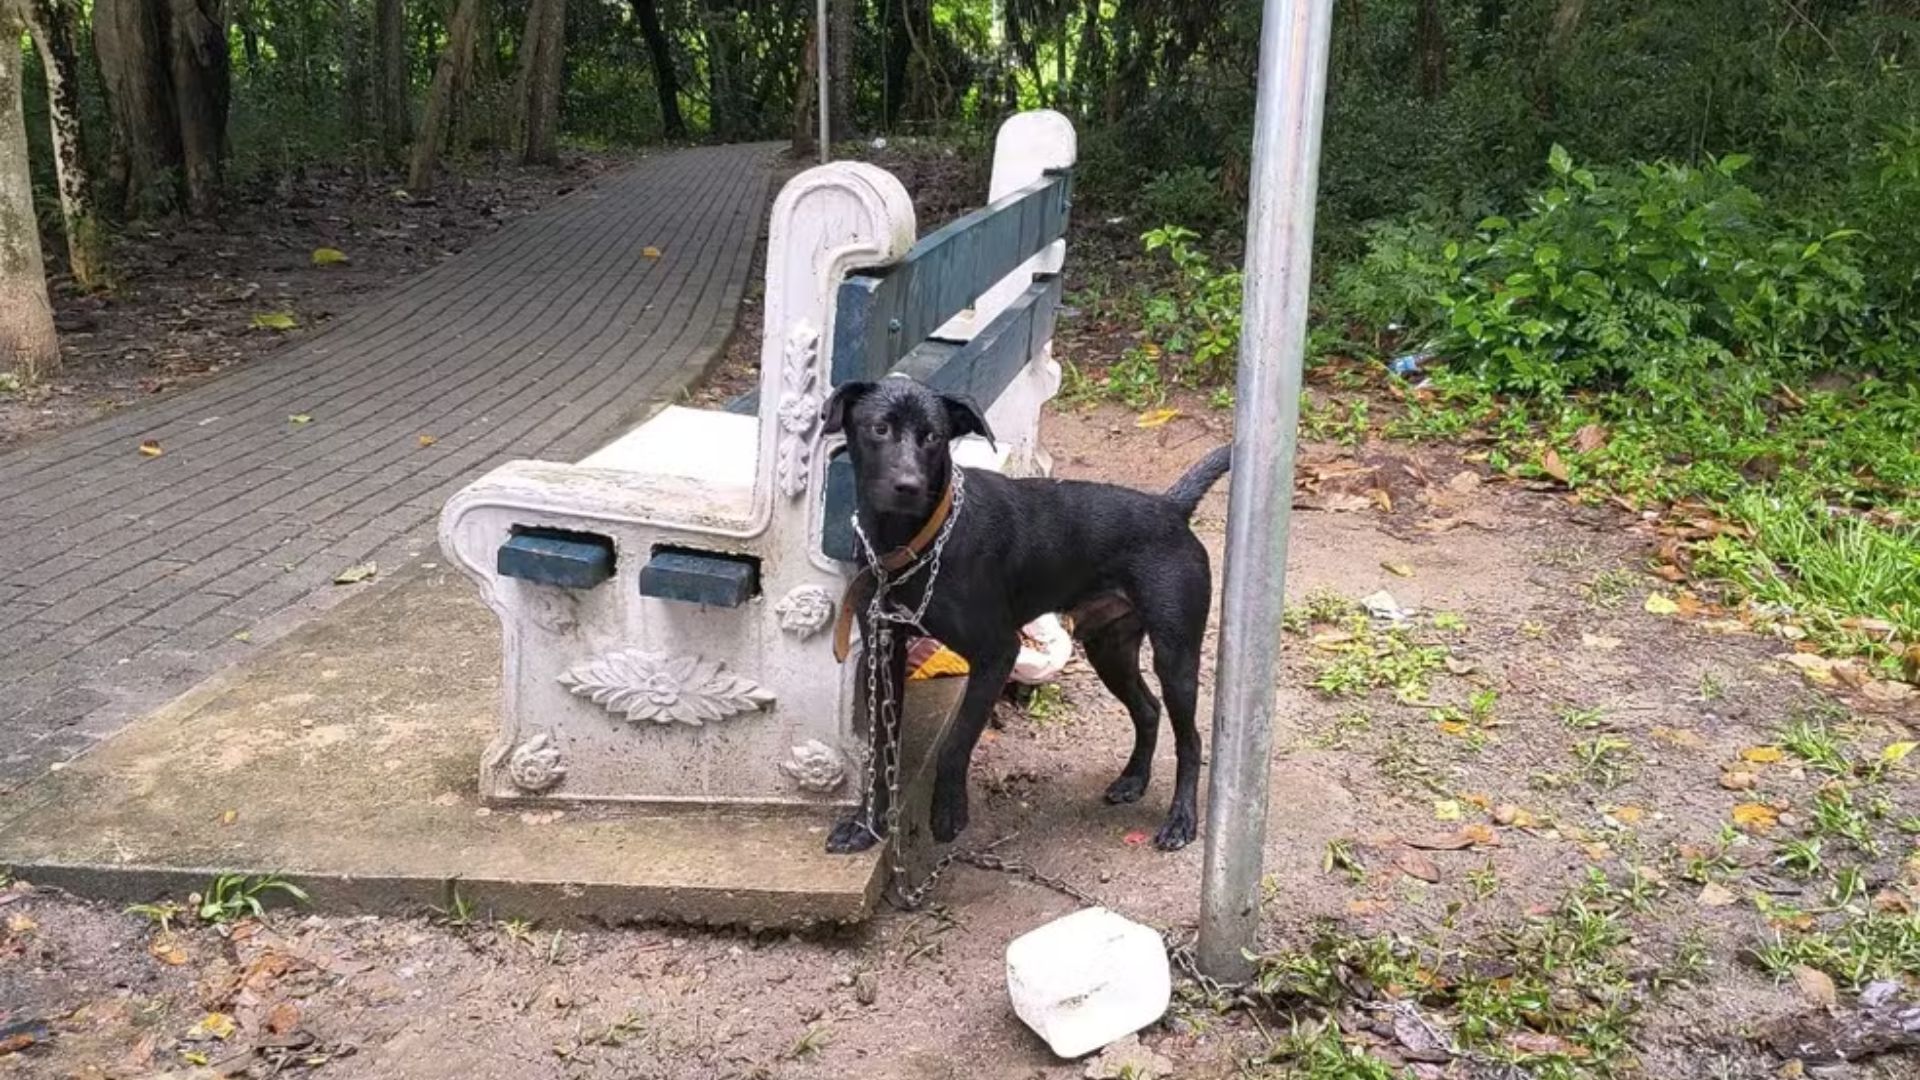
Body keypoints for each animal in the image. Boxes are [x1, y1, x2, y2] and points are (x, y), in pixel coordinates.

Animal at [820, 376, 1232, 853]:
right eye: (879, 428)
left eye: (933, 437)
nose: (908, 485)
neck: (913, 543)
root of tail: (1170, 507)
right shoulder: (883, 653)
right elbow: (880, 749)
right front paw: (866, 825)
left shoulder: (997, 653)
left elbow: (955, 742)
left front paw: (948, 812)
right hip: (1110, 648)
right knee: (1147, 709)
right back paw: (1132, 780)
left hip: (1175, 654)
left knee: (1191, 739)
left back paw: (1181, 820)